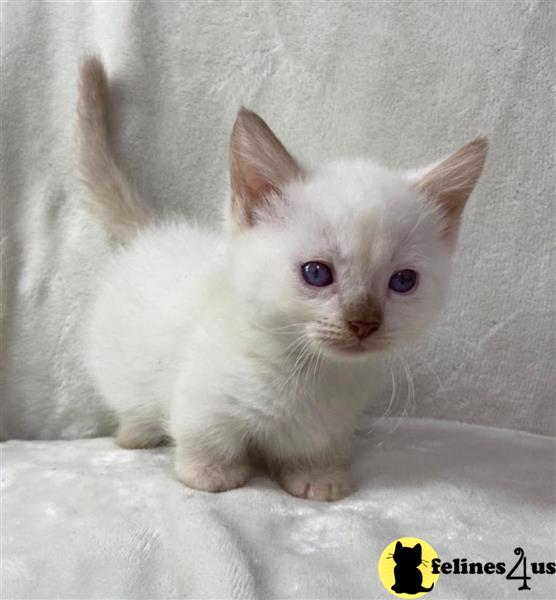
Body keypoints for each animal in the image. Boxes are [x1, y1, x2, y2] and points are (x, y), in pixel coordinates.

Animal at [78, 57, 486, 502]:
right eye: (317, 273)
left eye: (403, 281)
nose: (363, 322)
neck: (309, 373)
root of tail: (150, 231)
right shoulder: (202, 398)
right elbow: (204, 436)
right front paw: (210, 473)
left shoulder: (328, 425)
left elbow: (314, 451)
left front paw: (318, 477)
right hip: (121, 367)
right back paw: (135, 434)